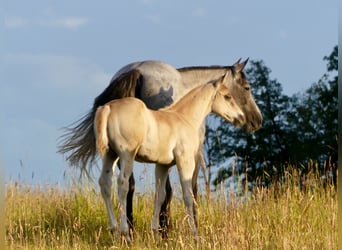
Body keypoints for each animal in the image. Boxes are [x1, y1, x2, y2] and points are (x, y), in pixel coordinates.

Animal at [58, 58, 262, 238]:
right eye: (246, 88)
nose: (254, 120)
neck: (183, 115)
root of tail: (107, 109)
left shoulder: (162, 164)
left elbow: (160, 194)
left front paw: (156, 232)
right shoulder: (189, 159)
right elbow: (189, 192)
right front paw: (194, 232)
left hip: (112, 155)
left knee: (110, 184)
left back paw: (120, 230)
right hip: (126, 155)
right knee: (122, 184)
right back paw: (127, 232)